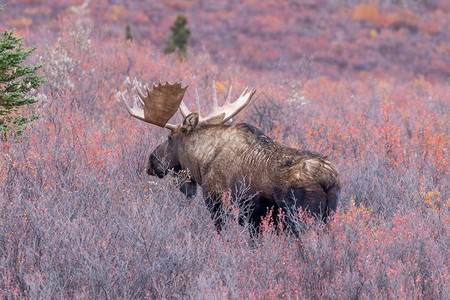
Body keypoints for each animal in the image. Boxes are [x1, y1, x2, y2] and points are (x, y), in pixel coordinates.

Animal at [121, 80, 340, 237]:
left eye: (169, 138)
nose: (151, 162)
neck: (201, 162)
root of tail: (329, 179)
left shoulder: (217, 202)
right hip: (329, 217)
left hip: (304, 217)